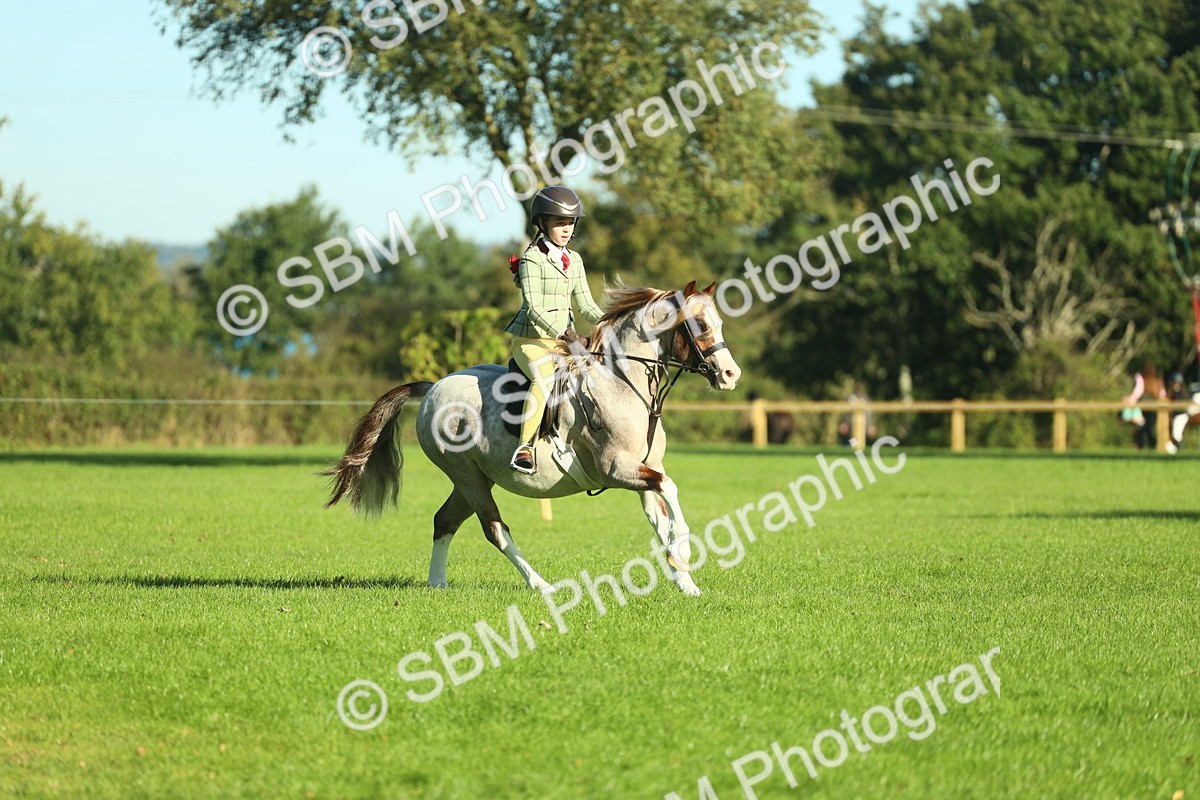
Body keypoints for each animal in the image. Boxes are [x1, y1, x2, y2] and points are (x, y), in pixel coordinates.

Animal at [322, 281, 742, 596]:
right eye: (699, 324)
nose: (730, 374)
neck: (624, 384)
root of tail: (433, 388)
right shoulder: (617, 470)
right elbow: (670, 492)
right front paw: (683, 547)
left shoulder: (644, 470)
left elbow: (661, 515)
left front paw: (685, 581)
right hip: (467, 476)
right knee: (495, 529)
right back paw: (542, 585)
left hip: (474, 478)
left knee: (445, 521)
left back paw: (437, 584)